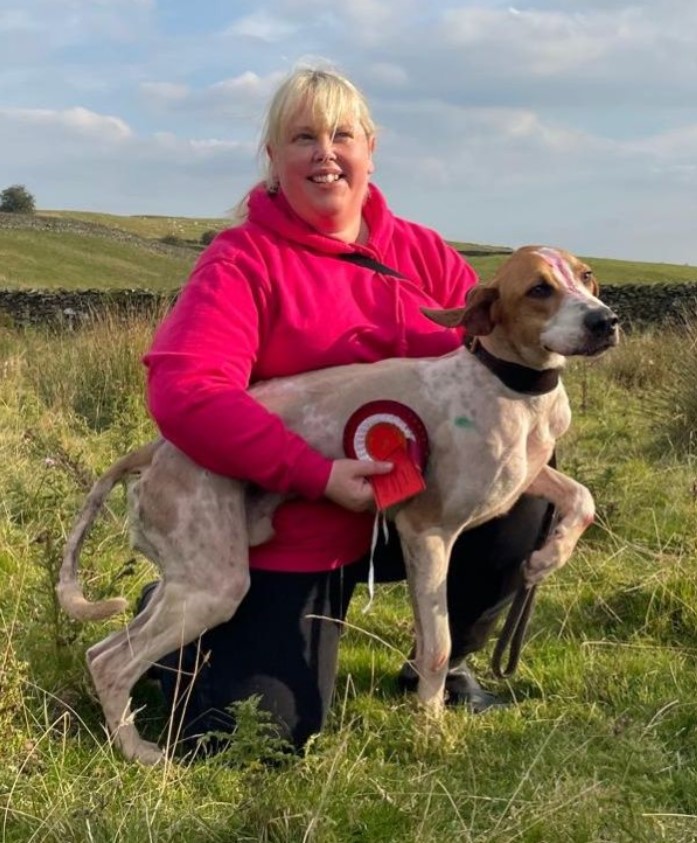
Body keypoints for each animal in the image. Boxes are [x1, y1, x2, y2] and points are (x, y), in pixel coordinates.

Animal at [57, 245, 619, 764]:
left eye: (587, 276)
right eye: (539, 290)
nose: (605, 320)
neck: (510, 388)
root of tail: (156, 447)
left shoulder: (523, 479)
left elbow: (582, 498)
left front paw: (547, 557)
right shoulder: (428, 532)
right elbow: (436, 648)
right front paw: (430, 732)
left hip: (199, 579)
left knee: (105, 647)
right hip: (214, 585)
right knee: (111, 662)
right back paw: (140, 752)